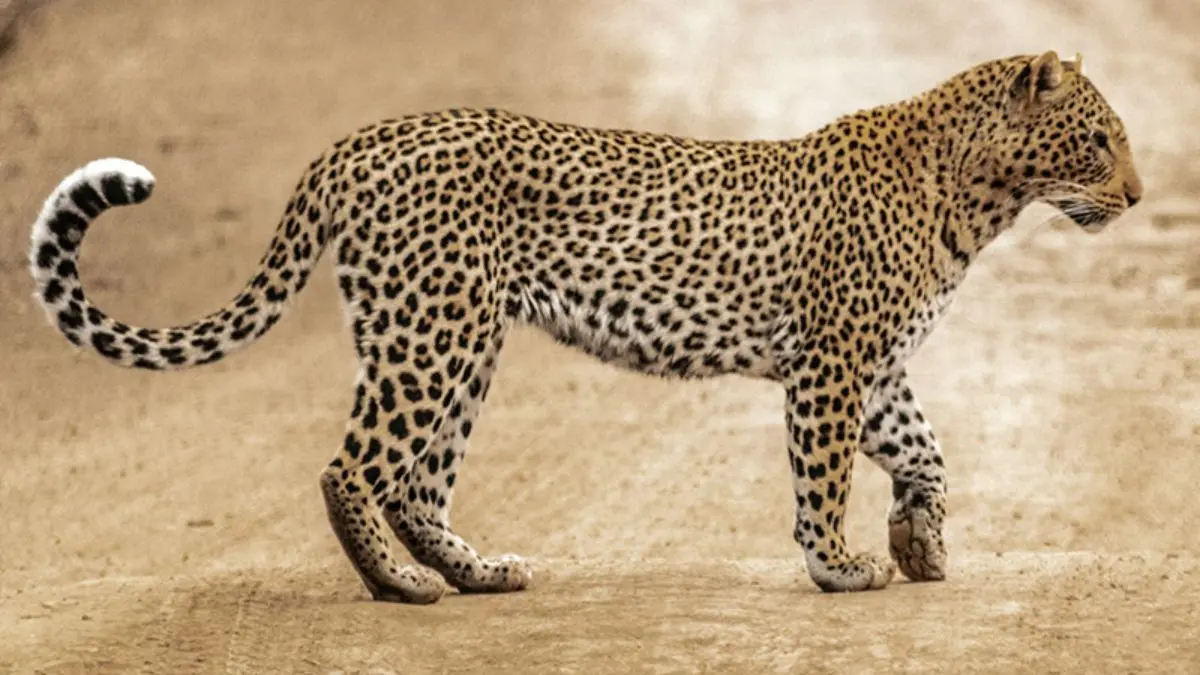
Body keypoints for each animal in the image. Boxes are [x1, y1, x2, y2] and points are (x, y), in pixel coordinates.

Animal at [28, 50, 1143, 603]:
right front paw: (839, 566)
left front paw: (920, 542)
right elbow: (823, 475)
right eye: (1097, 141)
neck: (981, 196)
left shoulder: (875, 366)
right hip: (432, 331)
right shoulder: (832, 362)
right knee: (353, 468)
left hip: (461, 338)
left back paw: (476, 574)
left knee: (417, 482)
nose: (1137, 196)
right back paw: (401, 588)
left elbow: (928, 451)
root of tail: (356, 141)